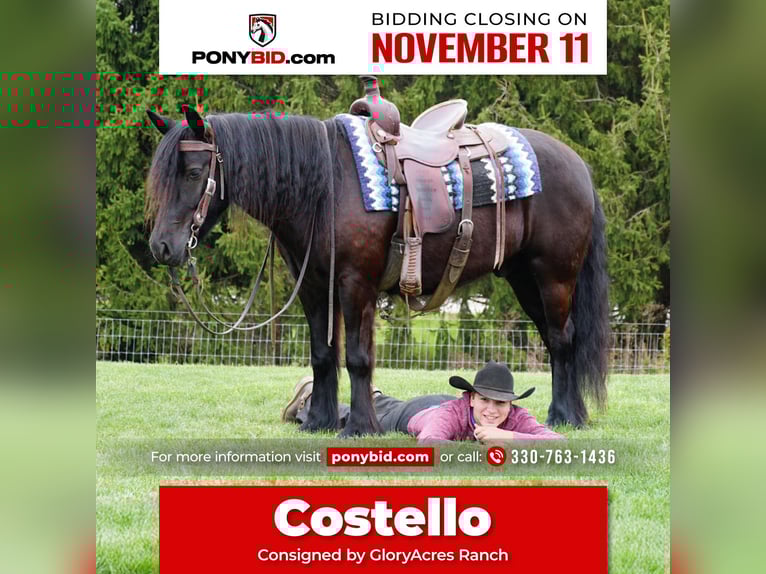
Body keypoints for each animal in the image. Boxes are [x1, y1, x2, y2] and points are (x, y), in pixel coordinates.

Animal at [145, 105, 609, 437]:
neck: (327, 185)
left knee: (563, 341)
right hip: (523, 277)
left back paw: (565, 416)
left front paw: (359, 427)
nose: (161, 246)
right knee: (555, 339)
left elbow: (358, 357)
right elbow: (322, 355)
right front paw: (320, 421)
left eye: (193, 172)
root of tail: (579, 166)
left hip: (553, 277)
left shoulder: (355, 284)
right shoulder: (314, 285)